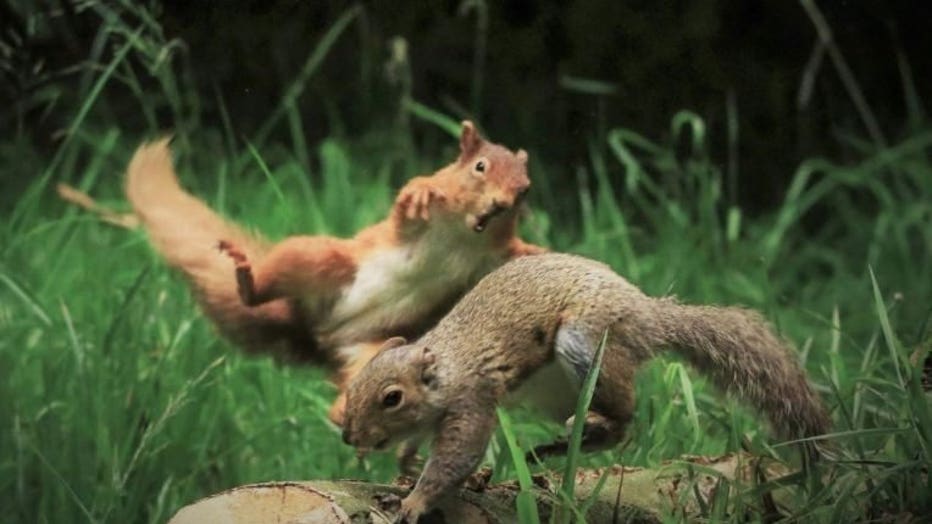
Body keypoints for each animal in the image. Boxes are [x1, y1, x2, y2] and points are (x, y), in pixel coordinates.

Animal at [126, 121, 544, 424]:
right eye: (480, 167)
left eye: (525, 188)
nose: (502, 203)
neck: (467, 232)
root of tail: (321, 333)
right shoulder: (407, 226)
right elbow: (408, 203)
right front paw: (420, 193)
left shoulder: (492, 257)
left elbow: (517, 257)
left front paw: (544, 255)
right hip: (317, 259)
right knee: (264, 287)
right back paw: (247, 279)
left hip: (371, 350)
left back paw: (342, 410)